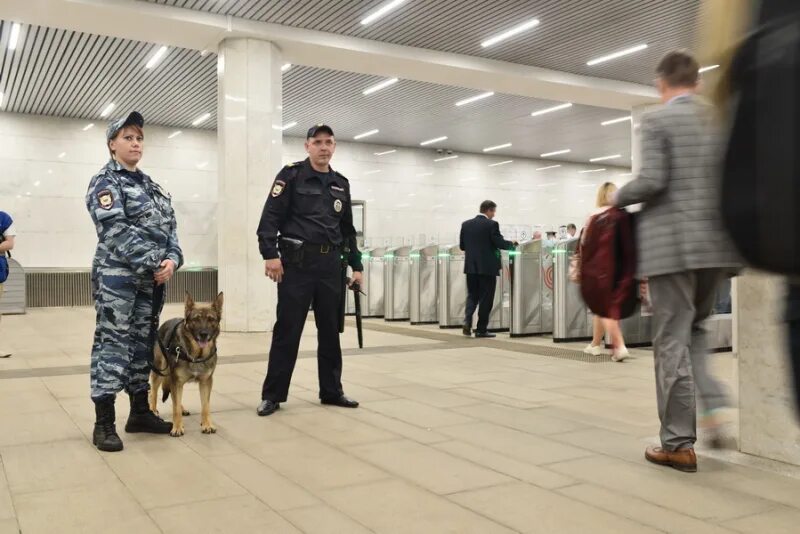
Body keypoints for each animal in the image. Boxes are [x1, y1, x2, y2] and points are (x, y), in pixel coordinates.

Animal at [147, 294, 220, 440]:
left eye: (211, 319)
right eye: (196, 319)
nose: (204, 334)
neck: (196, 355)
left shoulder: (205, 382)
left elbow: (205, 406)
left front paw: (207, 424)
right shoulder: (176, 381)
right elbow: (174, 409)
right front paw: (177, 427)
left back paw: (182, 408)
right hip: (160, 372)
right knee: (153, 391)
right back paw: (153, 409)